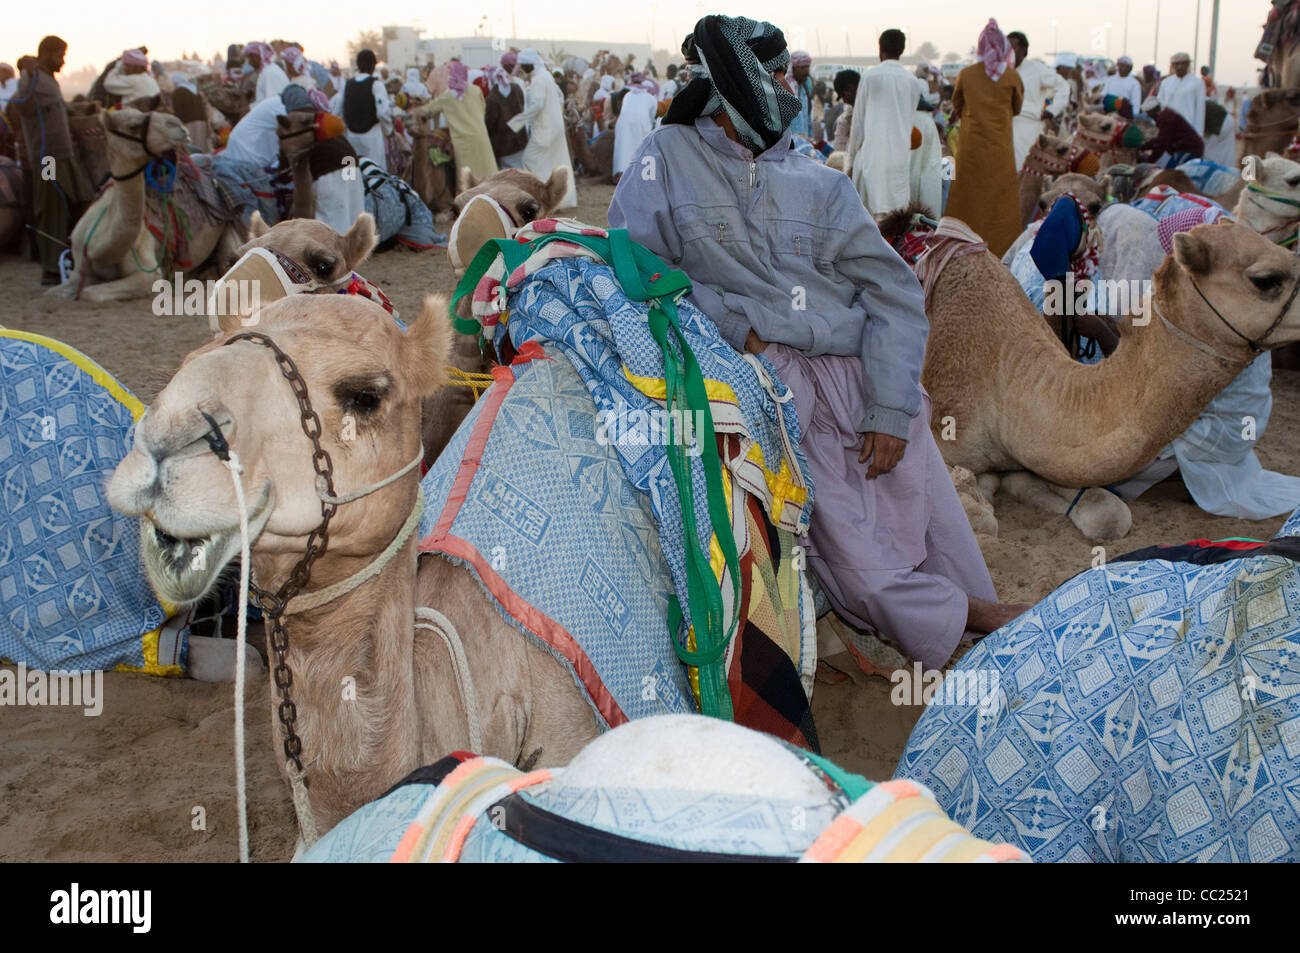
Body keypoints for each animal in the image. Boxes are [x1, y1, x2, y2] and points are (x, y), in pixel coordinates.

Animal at [50, 108, 244, 302]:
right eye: (133, 126)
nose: (179, 126)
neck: (100, 250)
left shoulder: (148, 272)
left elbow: (89, 293)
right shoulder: (77, 269)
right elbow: (54, 293)